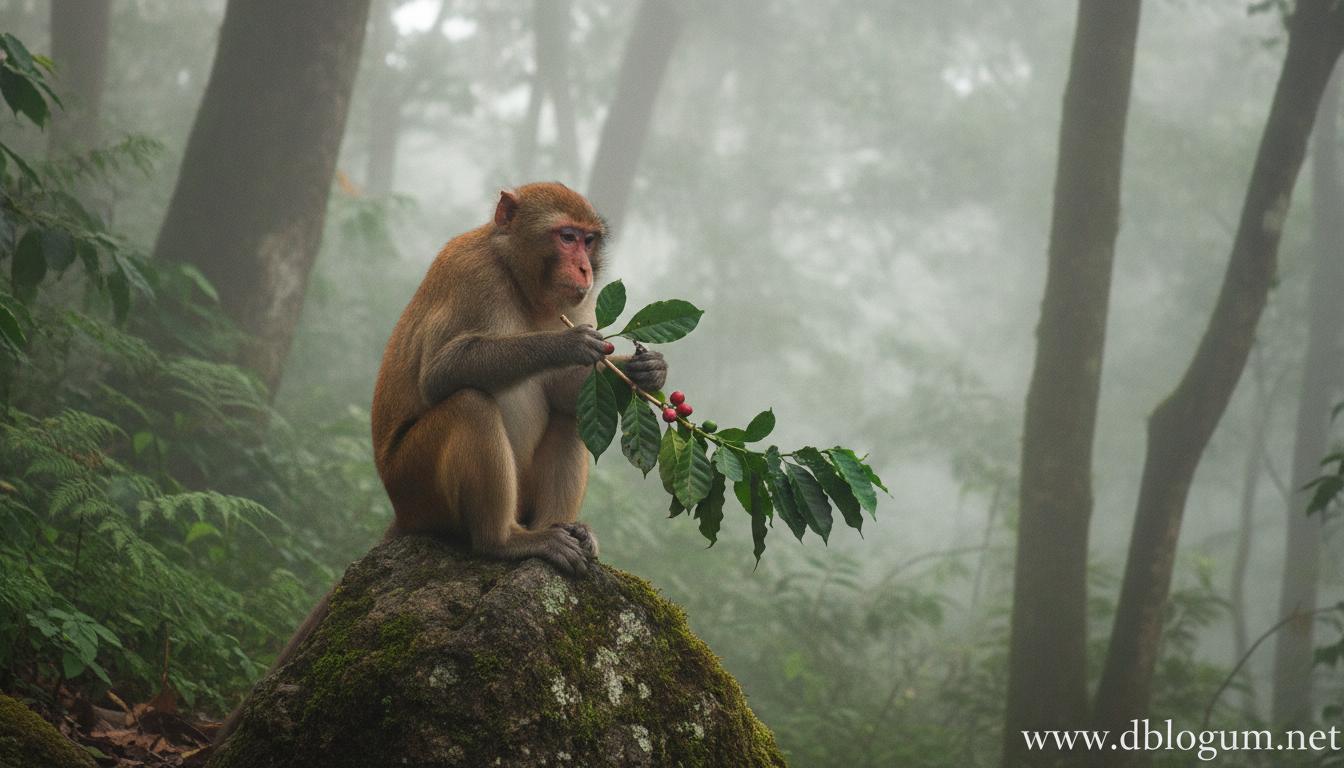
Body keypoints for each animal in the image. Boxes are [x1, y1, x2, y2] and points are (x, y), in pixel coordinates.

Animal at [214, 183, 665, 746]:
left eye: (588, 240)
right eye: (566, 237)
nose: (584, 269)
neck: (519, 281)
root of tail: (401, 512)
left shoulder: (577, 305)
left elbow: (572, 392)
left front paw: (644, 371)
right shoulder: (474, 276)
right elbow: (442, 373)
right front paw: (562, 344)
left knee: (569, 416)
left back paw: (560, 530)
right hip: (417, 480)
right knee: (469, 403)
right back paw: (507, 541)